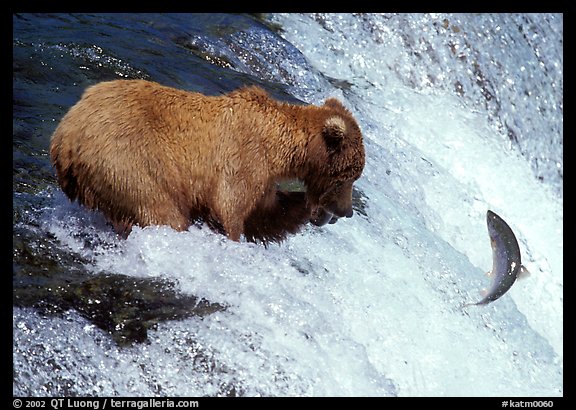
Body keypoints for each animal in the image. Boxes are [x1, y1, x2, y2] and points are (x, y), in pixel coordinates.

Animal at [49, 80, 364, 243]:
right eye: (348, 178)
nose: (347, 211)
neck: (282, 148)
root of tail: (64, 136)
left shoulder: (264, 180)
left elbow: (266, 215)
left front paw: (307, 207)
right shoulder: (244, 159)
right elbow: (231, 210)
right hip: (129, 161)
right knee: (162, 212)